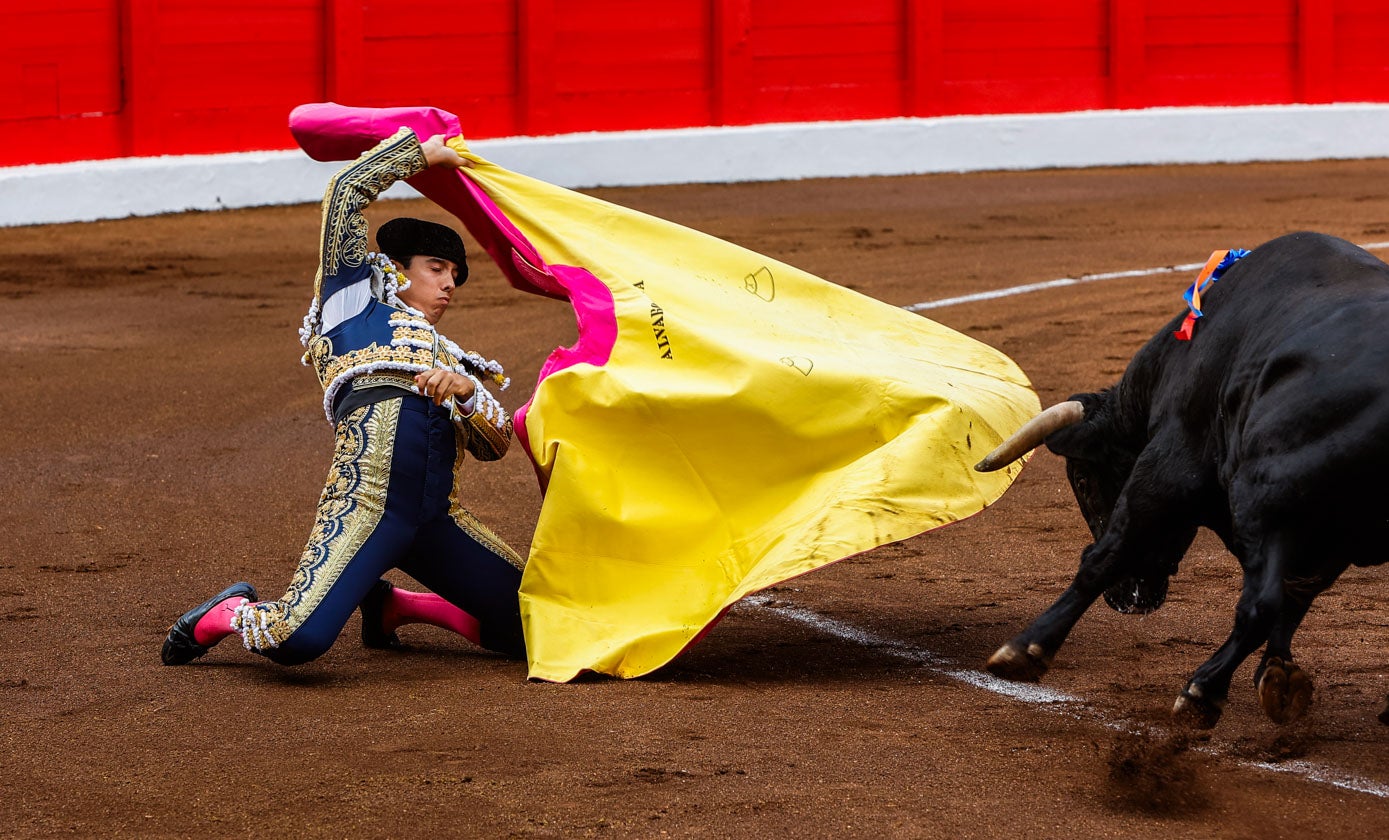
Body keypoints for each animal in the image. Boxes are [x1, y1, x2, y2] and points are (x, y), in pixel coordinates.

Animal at [977, 233, 1389, 733]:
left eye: (1083, 477)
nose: (1131, 600)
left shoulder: (1169, 467)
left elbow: (1106, 556)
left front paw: (1026, 649)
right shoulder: (1324, 541)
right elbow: (1295, 599)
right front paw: (1279, 676)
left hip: (1261, 499)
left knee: (1258, 603)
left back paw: (1201, 692)